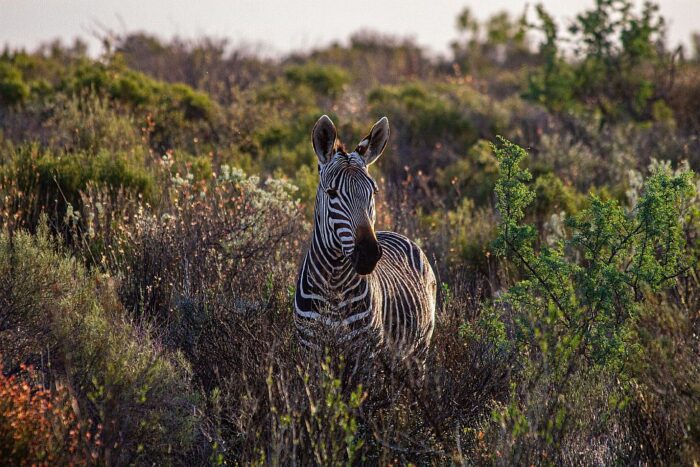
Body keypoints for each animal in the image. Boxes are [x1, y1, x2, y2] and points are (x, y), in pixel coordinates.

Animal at [292, 115, 434, 360]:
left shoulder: (365, 353)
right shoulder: (309, 349)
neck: (334, 285)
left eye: (373, 192)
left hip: (419, 348)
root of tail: (394, 233)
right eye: (332, 193)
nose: (368, 254)